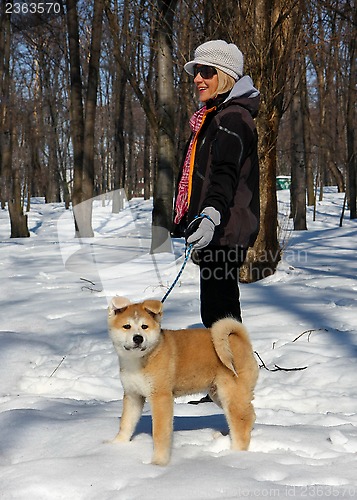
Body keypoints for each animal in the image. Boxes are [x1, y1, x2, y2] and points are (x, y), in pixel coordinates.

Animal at [107, 296, 258, 464]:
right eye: (126, 326)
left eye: (144, 326)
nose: (138, 338)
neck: (140, 359)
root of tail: (240, 340)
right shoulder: (133, 395)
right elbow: (126, 423)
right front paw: (116, 445)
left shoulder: (160, 397)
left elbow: (160, 433)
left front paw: (158, 462)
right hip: (218, 394)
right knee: (249, 415)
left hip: (231, 393)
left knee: (242, 422)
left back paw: (235, 454)